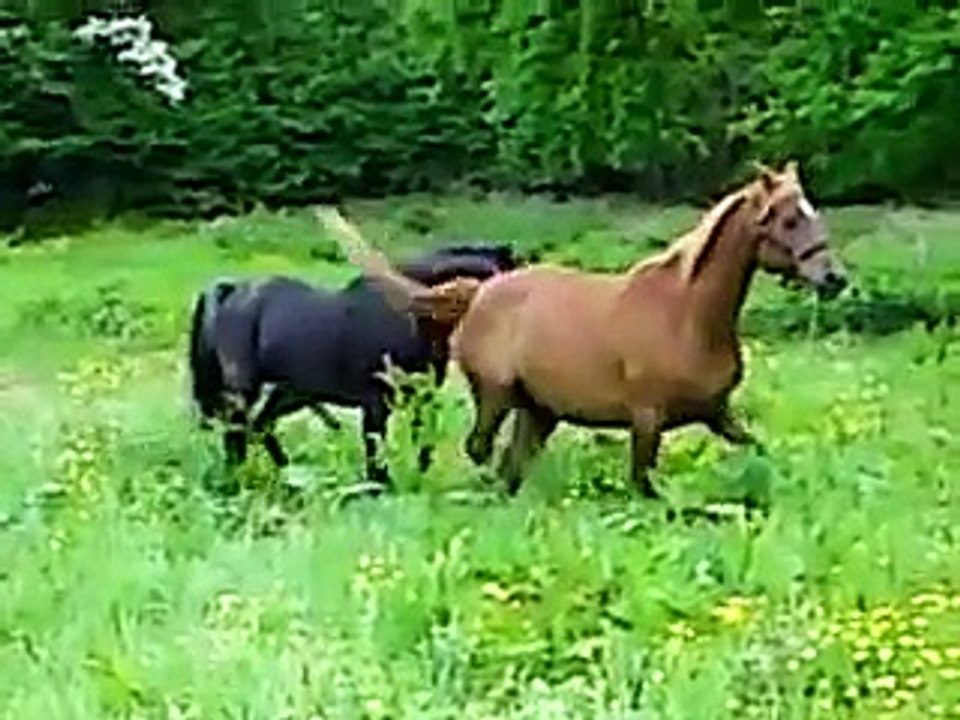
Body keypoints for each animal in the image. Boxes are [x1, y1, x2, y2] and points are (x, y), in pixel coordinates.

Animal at [187, 242, 521, 489]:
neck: (412, 319)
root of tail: (232, 290)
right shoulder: (375, 402)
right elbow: (375, 446)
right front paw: (381, 487)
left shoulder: (421, 396)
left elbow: (424, 439)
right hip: (246, 392)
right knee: (240, 430)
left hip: (287, 393)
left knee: (257, 427)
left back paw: (284, 473)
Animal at [318, 161, 849, 499]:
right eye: (787, 218)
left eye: (811, 212)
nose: (834, 278)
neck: (687, 315)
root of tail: (477, 292)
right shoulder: (647, 420)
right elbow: (643, 486)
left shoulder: (718, 413)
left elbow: (759, 452)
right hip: (497, 396)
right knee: (482, 451)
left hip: (539, 412)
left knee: (512, 464)